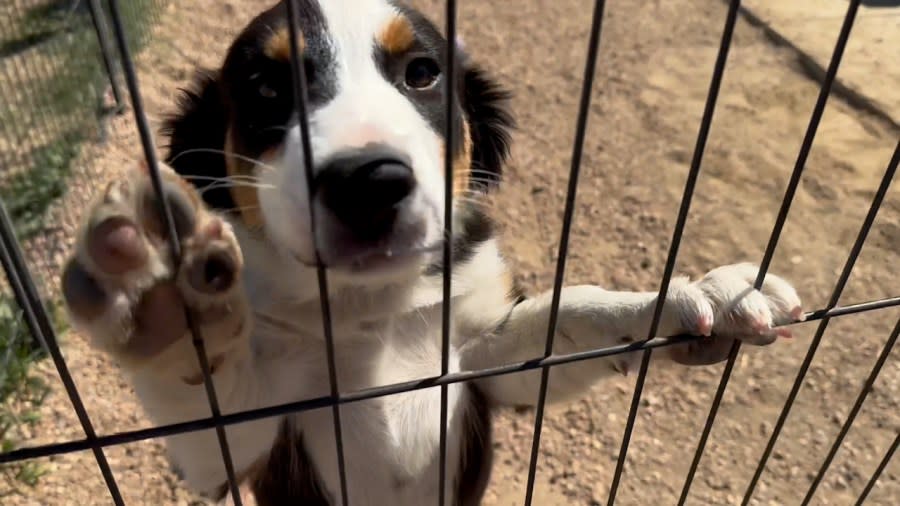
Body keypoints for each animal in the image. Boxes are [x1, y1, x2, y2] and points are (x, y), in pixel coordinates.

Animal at [59, 1, 804, 504]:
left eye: (421, 73)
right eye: (266, 89)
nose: (368, 182)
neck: (373, 311)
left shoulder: (482, 363)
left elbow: (572, 310)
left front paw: (697, 294)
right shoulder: (240, 448)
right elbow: (205, 390)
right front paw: (162, 304)